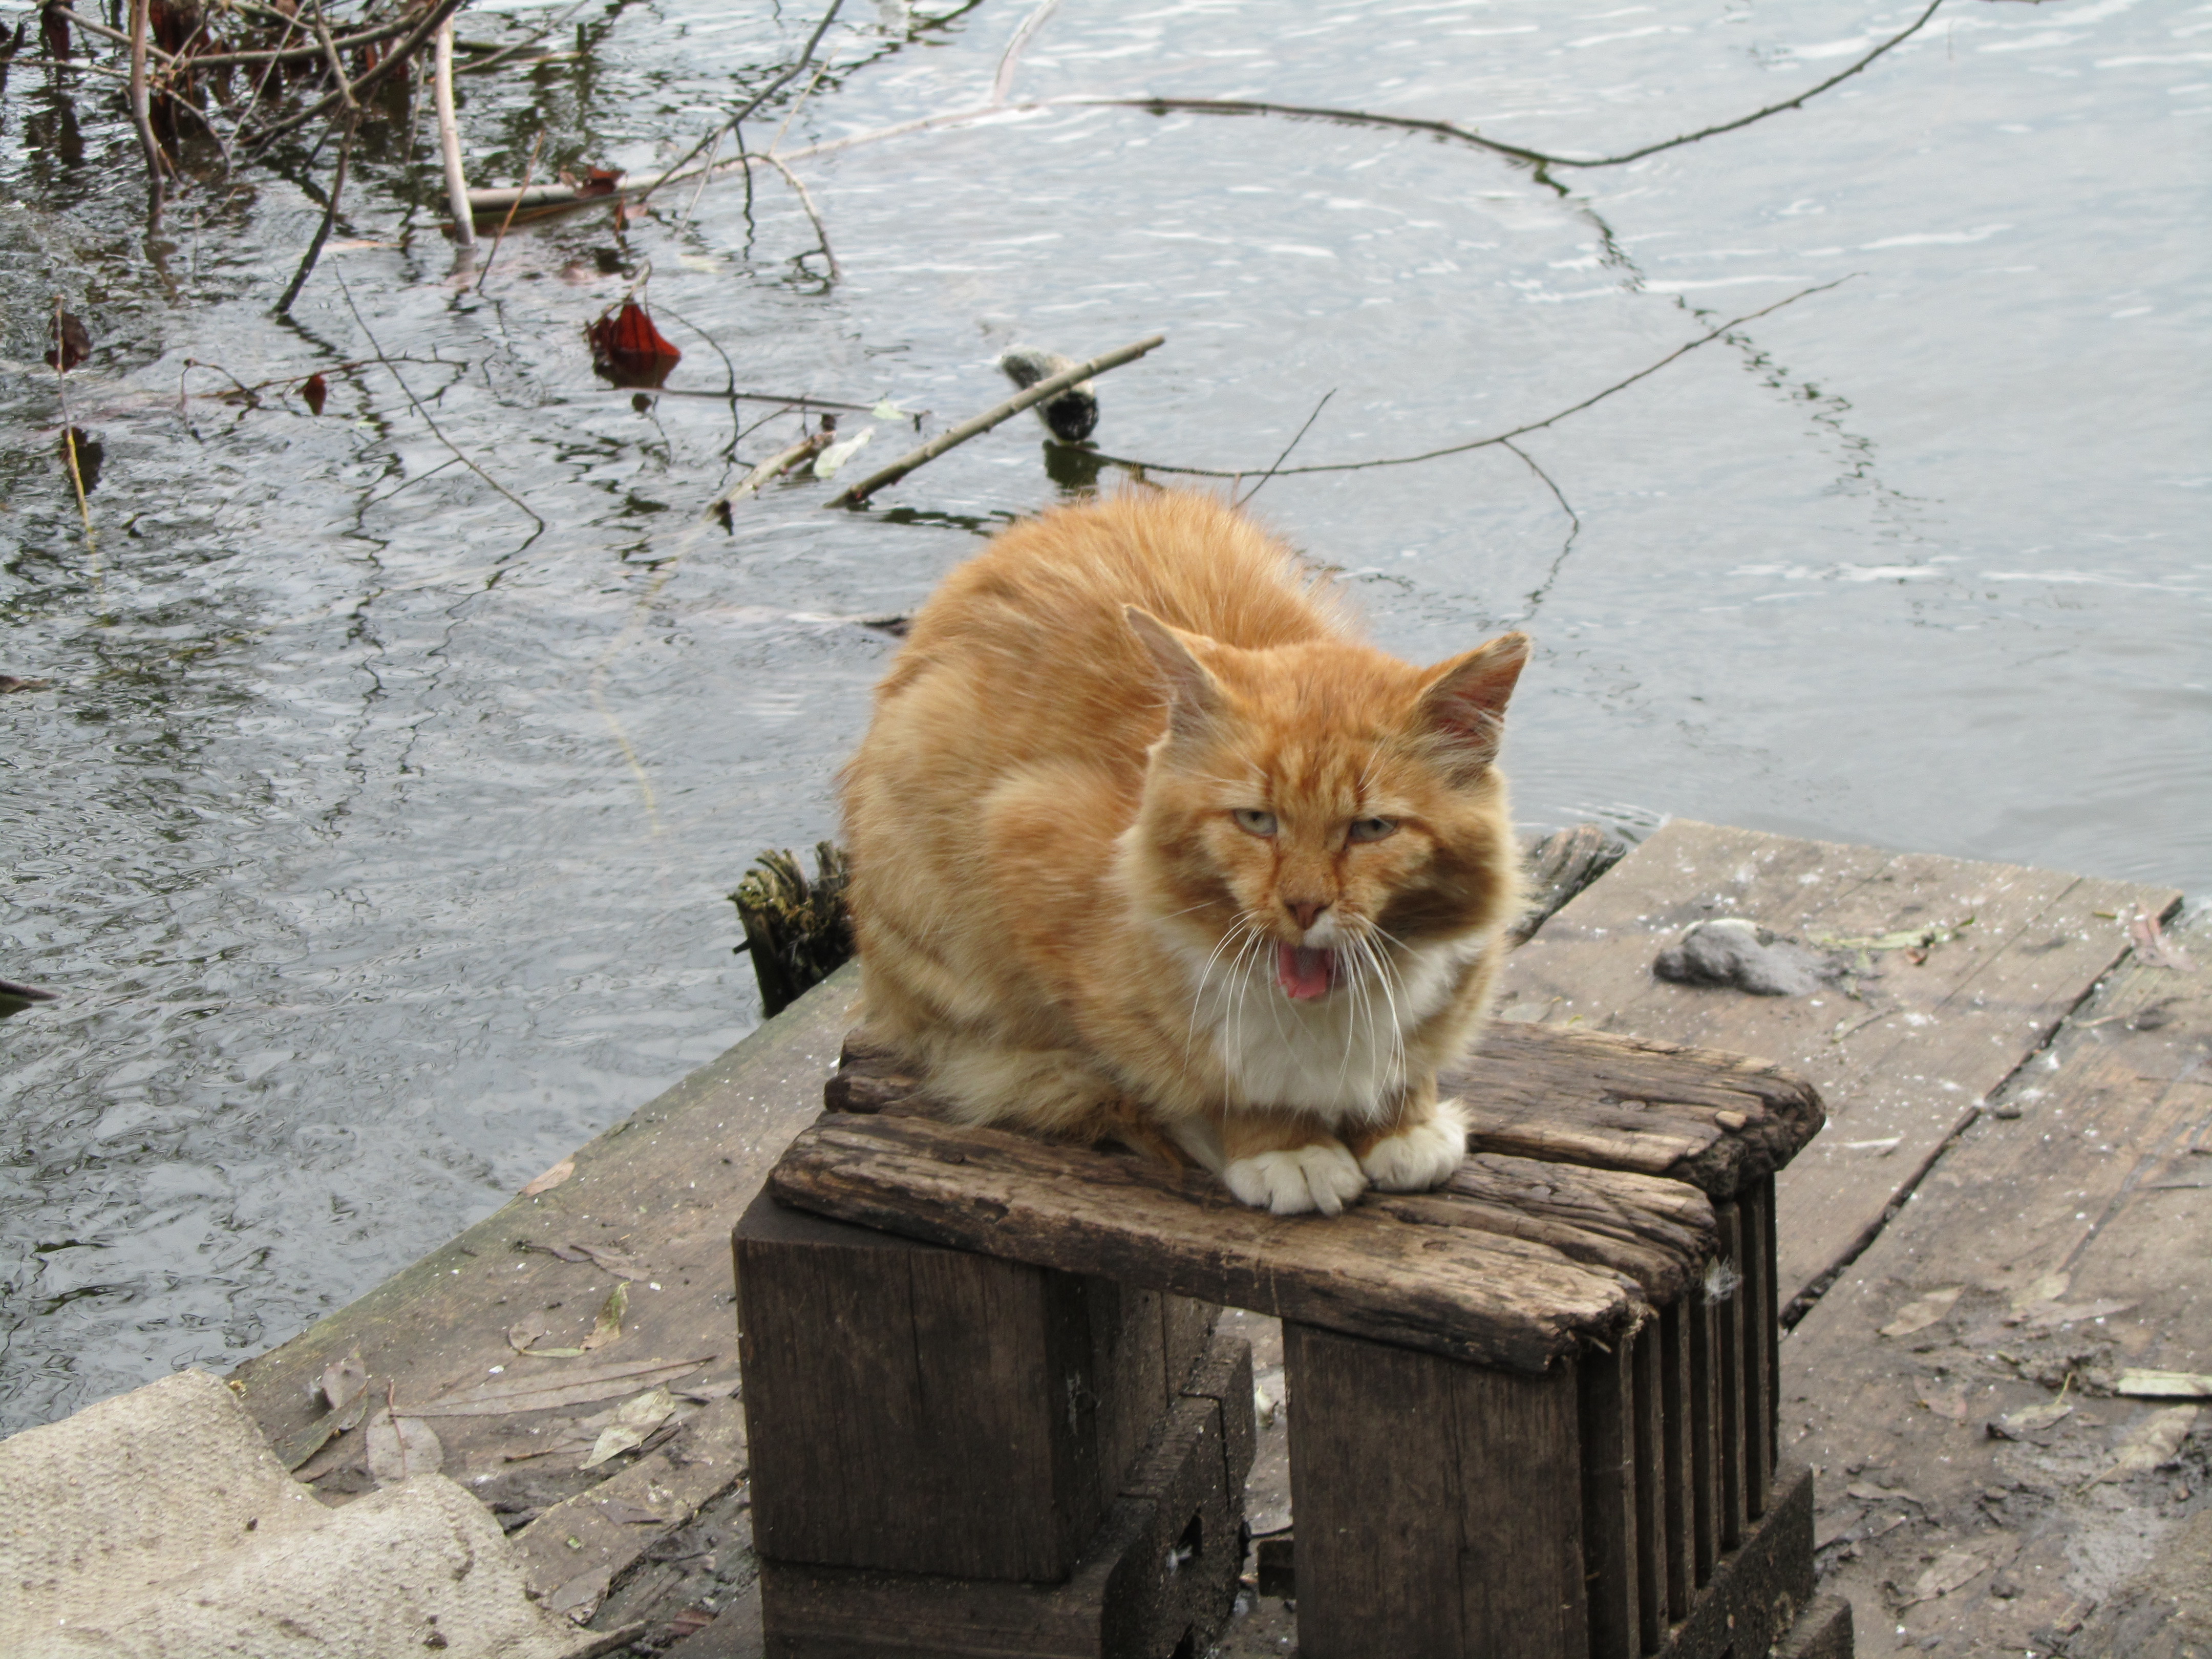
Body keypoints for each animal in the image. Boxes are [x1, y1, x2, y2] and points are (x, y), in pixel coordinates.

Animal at [836, 486, 1530, 1212]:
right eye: (1257, 821)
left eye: (1371, 830)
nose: (1303, 907)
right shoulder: (1019, 836)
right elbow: (1212, 1080)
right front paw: (1284, 1146)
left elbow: (1408, 1063)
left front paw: (1403, 1125)